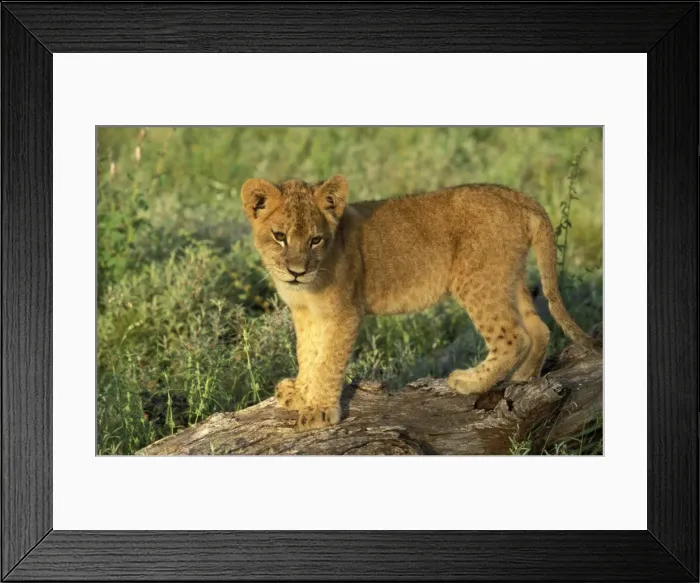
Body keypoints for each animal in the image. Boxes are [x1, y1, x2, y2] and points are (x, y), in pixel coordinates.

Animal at [241, 175, 599, 430]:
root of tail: (518, 196)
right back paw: (524, 378)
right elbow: (309, 355)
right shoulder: (306, 314)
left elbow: (328, 361)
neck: (309, 285)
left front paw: (318, 411)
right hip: (509, 279)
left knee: (513, 336)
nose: (297, 271)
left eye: (316, 239)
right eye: (279, 236)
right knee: (538, 328)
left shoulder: (343, 312)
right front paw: (301, 393)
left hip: (477, 281)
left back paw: (469, 382)